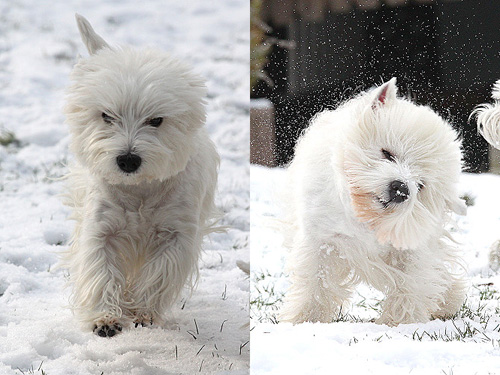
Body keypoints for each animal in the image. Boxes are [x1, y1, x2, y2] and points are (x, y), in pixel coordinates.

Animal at [62, 14, 219, 338]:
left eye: (156, 120)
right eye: (106, 115)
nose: (128, 159)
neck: (140, 191)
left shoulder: (176, 233)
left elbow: (160, 273)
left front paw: (144, 314)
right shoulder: (102, 229)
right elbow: (100, 271)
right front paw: (106, 318)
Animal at [280, 78, 466, 326]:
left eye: (421, 185)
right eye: (387, 153)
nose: (401, 189)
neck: (366, 218)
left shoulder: (410, 251)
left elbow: (409, 286)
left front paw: (400, 324)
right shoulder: (321, 240)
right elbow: (316, 283)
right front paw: (306, 320)